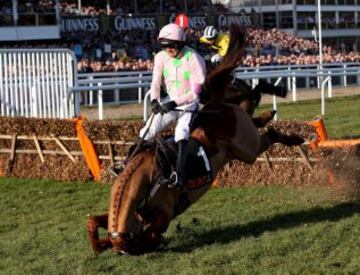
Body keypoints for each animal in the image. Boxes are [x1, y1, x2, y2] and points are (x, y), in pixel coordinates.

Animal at [86, 24, 304, 256]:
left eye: (133, 248)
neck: (148, 179)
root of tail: (220, 108)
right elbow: (92, 221)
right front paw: (99, 244)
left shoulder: (164, 212)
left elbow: (153, 231)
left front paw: (154, 240)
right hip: (241, 125)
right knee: (254, 111)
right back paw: (269, 112)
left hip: (249, 150)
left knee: (269, 132)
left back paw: (294, 134)